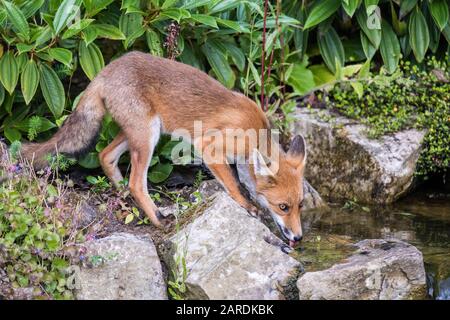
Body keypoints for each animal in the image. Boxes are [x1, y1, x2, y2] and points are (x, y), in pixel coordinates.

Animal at [22, 51, 308, 246]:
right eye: (283, 207)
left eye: (300, 206)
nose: (299, 237)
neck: (255, 133)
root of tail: (106, 70)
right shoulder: (209, 148)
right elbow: (234, 184)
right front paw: (247, 205)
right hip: (147, 137)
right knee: (136, 183)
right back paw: (157, 218)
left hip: (140, 133)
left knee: (106, 156)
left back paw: (122, 195)